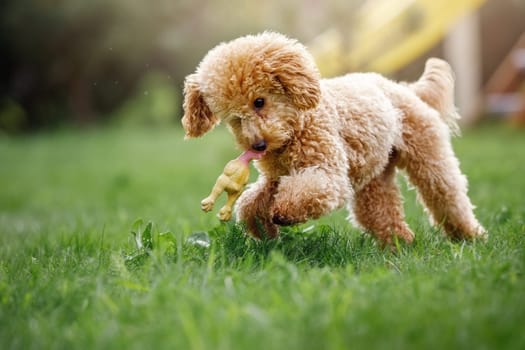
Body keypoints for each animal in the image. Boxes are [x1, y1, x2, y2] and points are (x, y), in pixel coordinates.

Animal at [182, 32, 486, 245]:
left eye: (259, 101)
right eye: (234, 118)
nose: (258, 146)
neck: (297, 127)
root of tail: (407, 90)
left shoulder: (326, 171)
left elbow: (310, 191)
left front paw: (284, 212)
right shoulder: (275, 179)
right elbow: (250, 203)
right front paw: (263, 227)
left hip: (428, 156)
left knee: (447, 194)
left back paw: (471, 236)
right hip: (375, 177)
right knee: (381, 211)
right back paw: (399, 244)